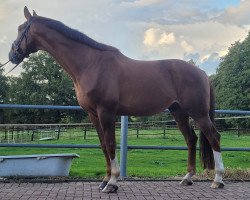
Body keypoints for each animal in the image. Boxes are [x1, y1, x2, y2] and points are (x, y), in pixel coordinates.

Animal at [9, 7, 225, 193]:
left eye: (20, 29)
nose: (12, 55)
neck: (91, 64)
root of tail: (202, 73)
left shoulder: (106, 112)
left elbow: (111, 144)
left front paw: (112, 183)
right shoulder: (93, 115)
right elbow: (104, 146)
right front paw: (104, 180)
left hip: (198, 112)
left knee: (214, 137)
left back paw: (218, 180)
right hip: (179, 112)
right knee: (191, 139)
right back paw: (187, 178)